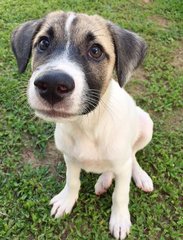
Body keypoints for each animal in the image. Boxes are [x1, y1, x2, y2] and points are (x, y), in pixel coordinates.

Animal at [11, 11, 154, 240]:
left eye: (95, 51)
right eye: (43, 43)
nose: (52, 85)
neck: (87, 124)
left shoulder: (122, 167)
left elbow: (120, 194)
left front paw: (120, 219)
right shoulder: (70, 157)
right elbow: (72, 181)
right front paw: (66, 201)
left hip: (145, 124)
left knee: (132, 155)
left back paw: (137, 176)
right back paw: (104, 180)